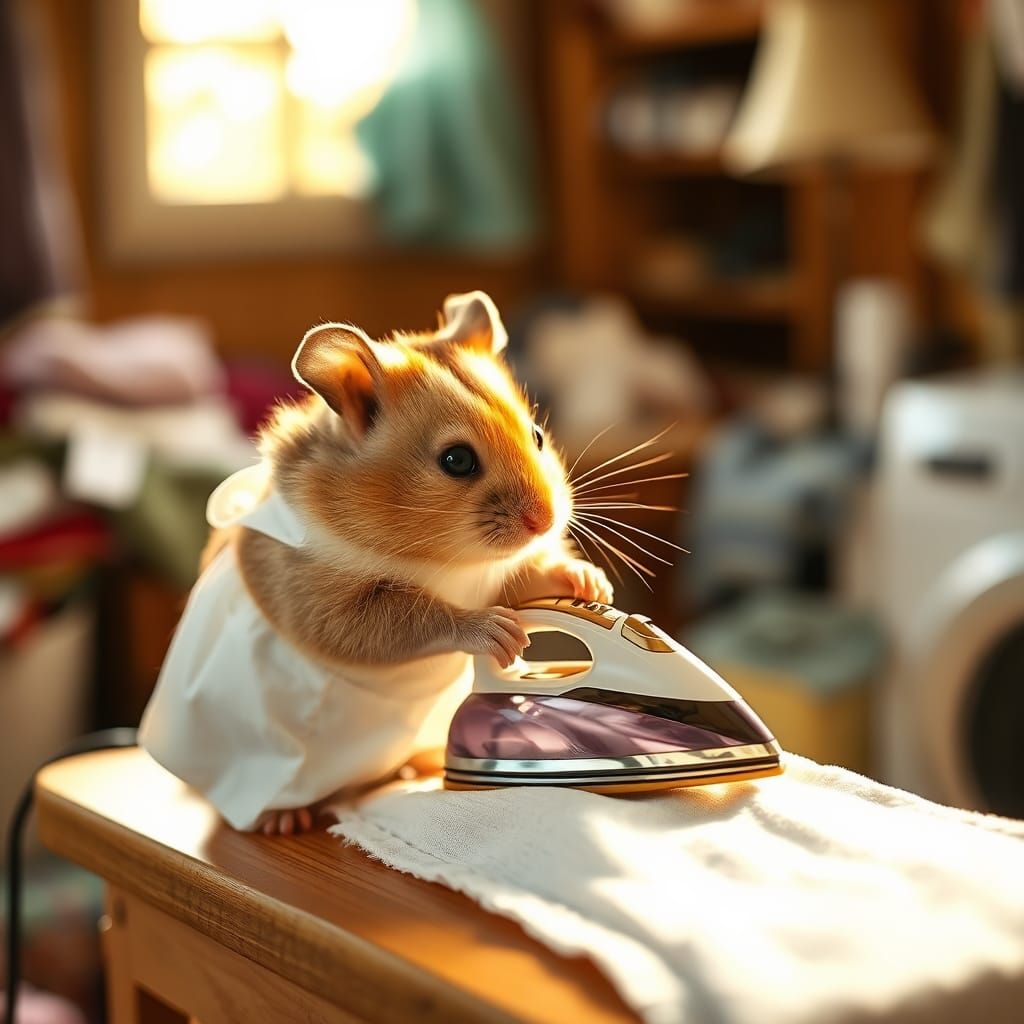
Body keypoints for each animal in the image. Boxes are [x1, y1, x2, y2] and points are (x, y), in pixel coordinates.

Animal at [138, 291, 612, 835]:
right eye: (457, 460)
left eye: (536, 434)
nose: (545, 519)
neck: (448, 559)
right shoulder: (329, 606)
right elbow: (412, 619)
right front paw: (503, 634)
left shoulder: (495, 573)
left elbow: (527, 576)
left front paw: (590, 583)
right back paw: (285, 818)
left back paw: (420, 764)